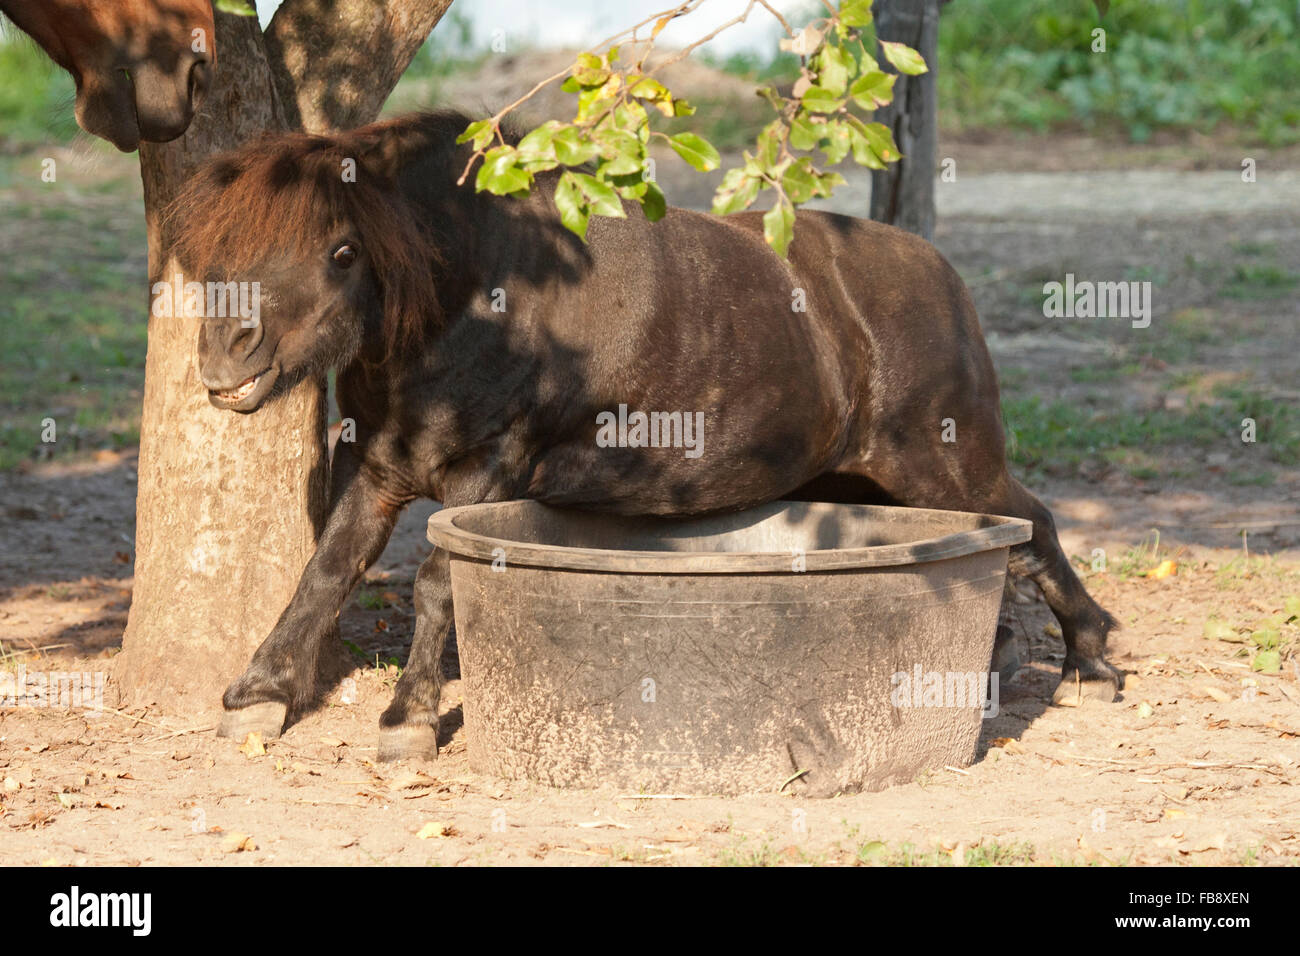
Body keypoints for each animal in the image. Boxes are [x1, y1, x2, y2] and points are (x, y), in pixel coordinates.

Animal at [164, 110, 1122, 760]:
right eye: (219, 253)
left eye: (339, 251)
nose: (224, 353)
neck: (478, 293)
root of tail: (938, 272)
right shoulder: (380, 467)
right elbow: (326, 571)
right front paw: (260, 693)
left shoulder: (486, 472)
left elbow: (437, 584)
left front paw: (409, 720)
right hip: (860, 478)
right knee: (1001, 536)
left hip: (940, 459)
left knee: (1028, 522)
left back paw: (1092, 656)